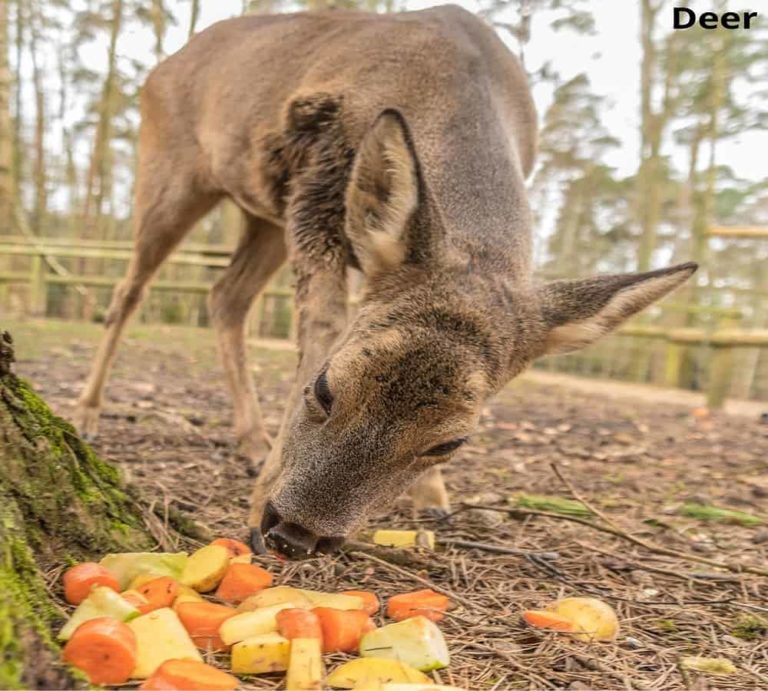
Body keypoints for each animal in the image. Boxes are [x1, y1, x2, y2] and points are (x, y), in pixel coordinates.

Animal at [74, 5, 697, 559]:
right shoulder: (317, 191)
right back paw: (87, 414)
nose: (294, 532)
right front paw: (257, 498)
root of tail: (161, 67)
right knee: (129, 290)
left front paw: (433, 497)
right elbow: (321, 327)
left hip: (264, 213)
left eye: (450, 441)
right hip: (170, 173)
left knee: (226, 295)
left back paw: (250, 440)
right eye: (324, 388)